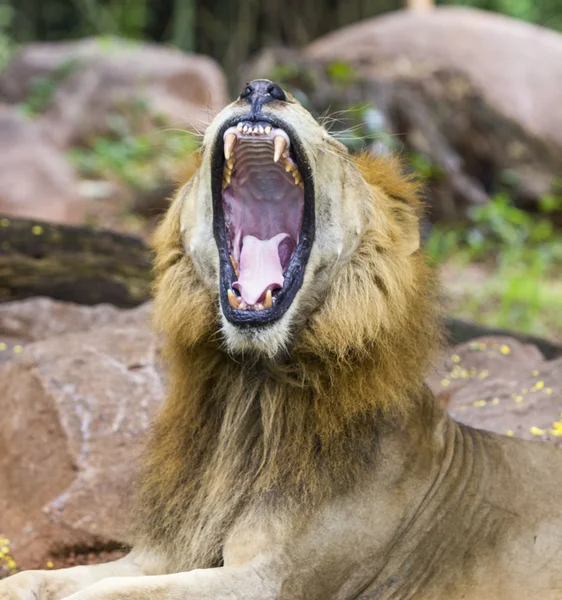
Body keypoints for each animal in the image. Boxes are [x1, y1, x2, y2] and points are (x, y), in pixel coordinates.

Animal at [3, 79, 560, 600]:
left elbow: (109, 592)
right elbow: (38, 578)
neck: (250, 386)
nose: (260, 88)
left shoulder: (273, 579)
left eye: (336, 148)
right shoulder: (160, 553)